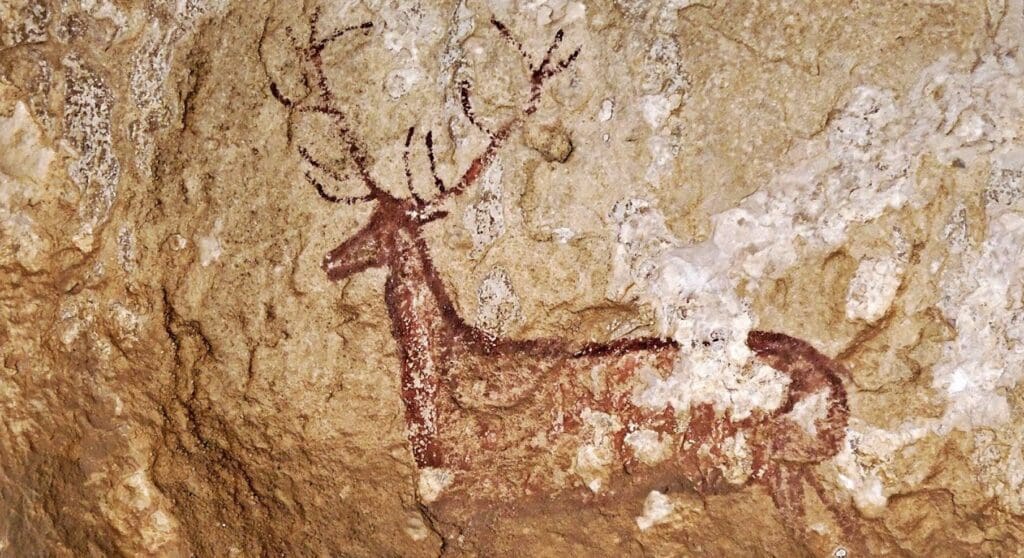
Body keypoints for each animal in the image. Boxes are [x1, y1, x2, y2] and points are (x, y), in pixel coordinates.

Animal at [268, 8, 859, 552]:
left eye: (386, 230)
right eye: (368, 218)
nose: (329, 260)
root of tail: (837, 391)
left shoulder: (480, 501)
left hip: (773, 461)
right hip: (796, 470)